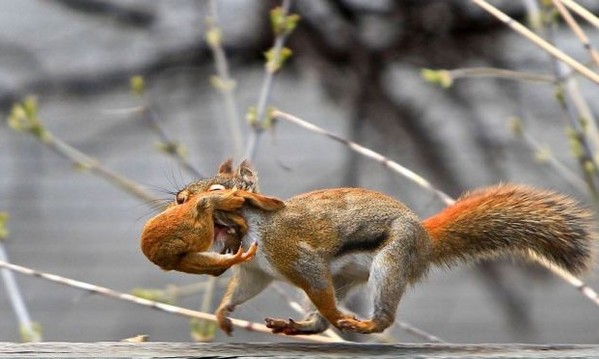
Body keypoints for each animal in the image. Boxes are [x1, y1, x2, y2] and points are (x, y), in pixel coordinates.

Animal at [141, 160, 596, 338]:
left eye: (218, 190)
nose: (178, 198)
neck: (256, 228)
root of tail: (425, 239)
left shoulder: (295, 253)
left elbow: (314, 284)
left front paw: (335, 317)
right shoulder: (256, 270)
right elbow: (243, 288)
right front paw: (223, 314)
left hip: (392, 261)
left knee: (380, 313)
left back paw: (360, 324)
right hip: (345, 275)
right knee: (320, 316)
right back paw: (300, 326)